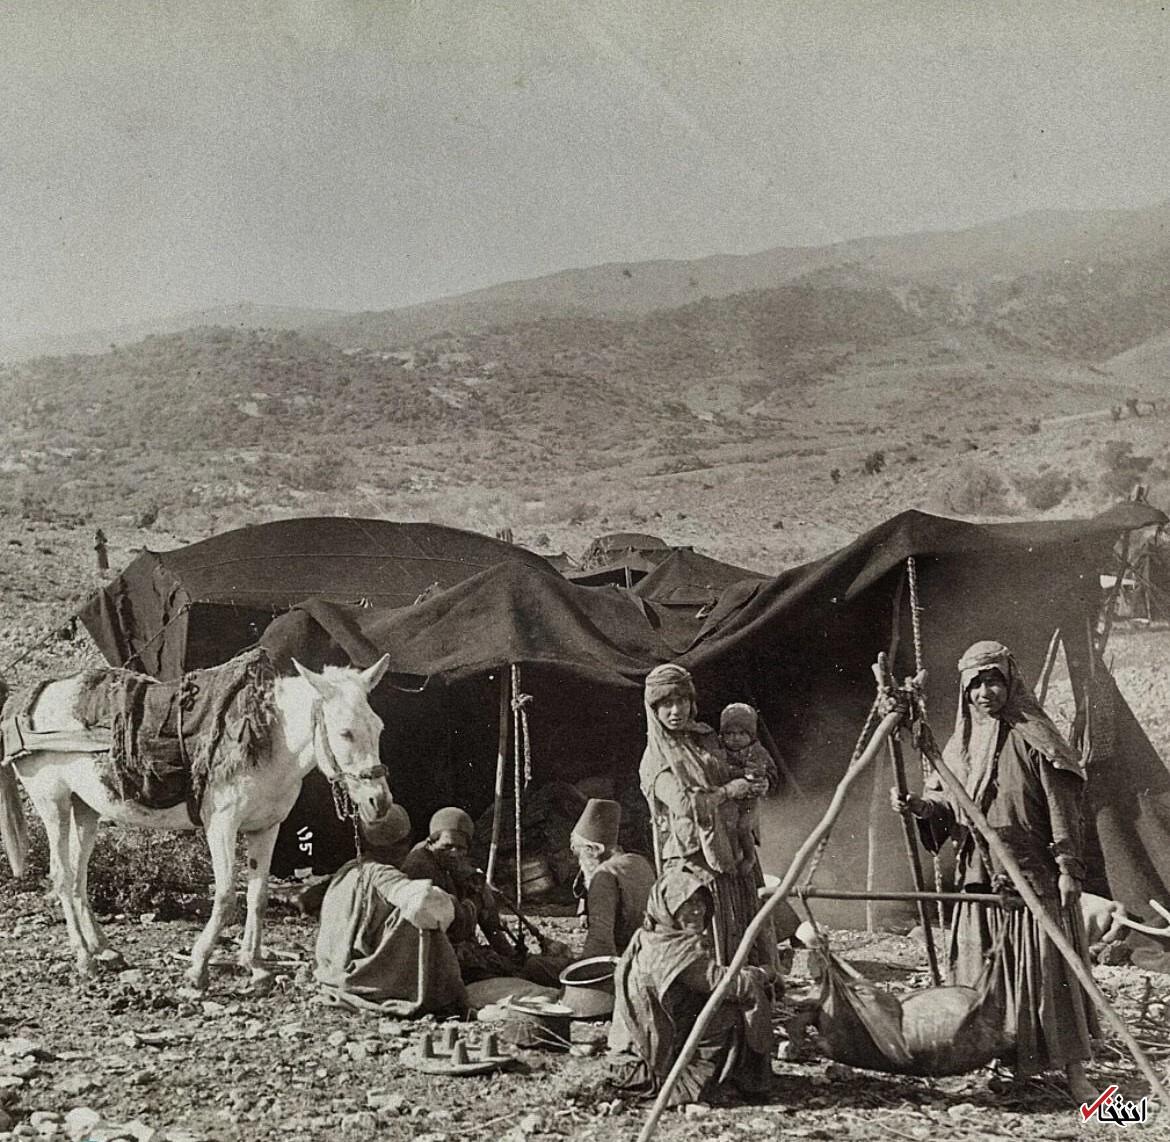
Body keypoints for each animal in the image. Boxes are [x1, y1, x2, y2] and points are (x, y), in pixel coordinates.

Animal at [0, 651, 393, 990]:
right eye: (345, 732)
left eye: (378, 727)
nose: (380, 802)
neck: (267, 735)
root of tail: (27, 699)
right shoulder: (221, 826)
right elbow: (226, 896)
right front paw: (199, 966)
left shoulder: (266, 828)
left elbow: (258, 896)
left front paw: (254, 965)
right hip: (53, 803)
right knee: (62, 877)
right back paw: (84, 958)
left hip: (86, 809)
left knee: (79, 877)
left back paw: (103, 949)